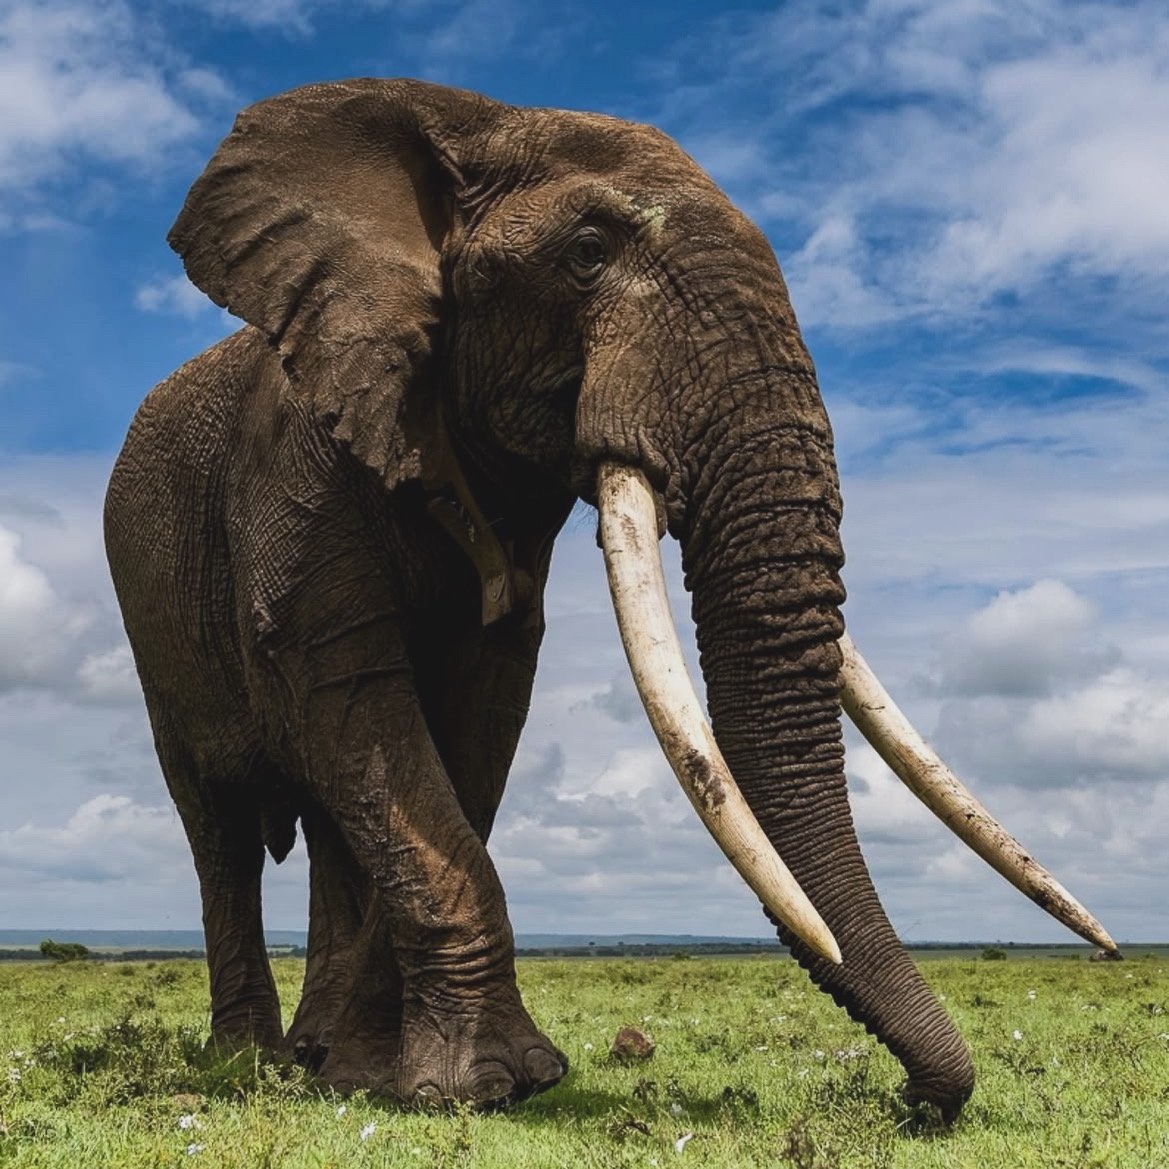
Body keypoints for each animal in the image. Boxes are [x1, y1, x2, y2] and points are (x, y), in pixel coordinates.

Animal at [104, 78, 1117, 1121]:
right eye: (586, 255)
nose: (917, 1100)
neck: (468, 120)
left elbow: (475, 724)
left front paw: (389, 1078)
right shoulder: (295, 475)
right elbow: (350, 704)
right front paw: (480, 1087)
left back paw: (316, 1058)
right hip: (148, 611)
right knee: (218, 821)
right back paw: (249, 1064)